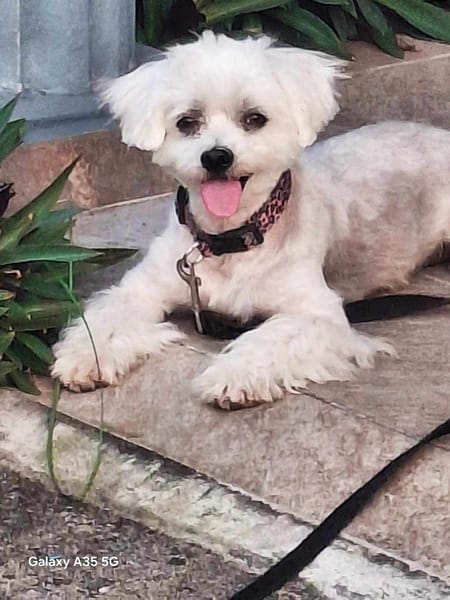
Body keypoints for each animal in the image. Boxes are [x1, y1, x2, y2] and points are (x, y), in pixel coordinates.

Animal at [51, 31, 450, 409]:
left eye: (255, 119)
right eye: (187, 122)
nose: (216, 156)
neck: (228, 241)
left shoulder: (317, 314)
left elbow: (269, 338)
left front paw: (236, 376)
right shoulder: (142, 289)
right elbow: (108, 319)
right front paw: (85, 356)